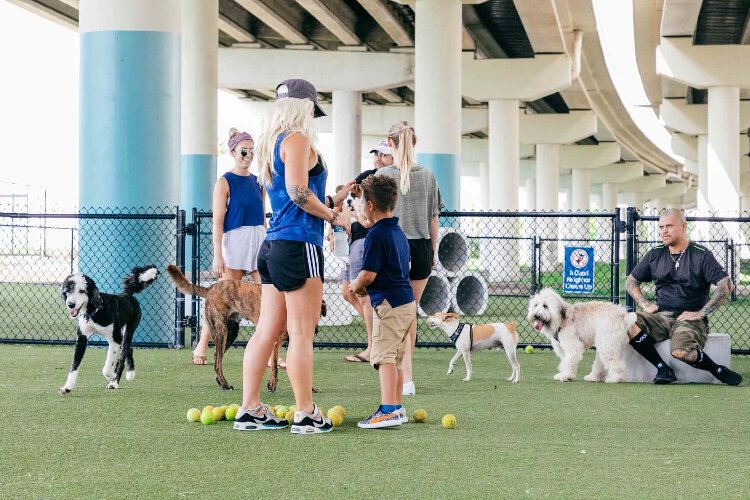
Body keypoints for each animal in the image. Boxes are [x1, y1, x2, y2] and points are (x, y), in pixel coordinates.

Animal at [59, 266, 159, 394]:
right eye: (68, 290)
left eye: (82, 291)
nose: (70, 304)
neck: (94, 311)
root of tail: (127, 294)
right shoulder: (82, 339)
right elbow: (74, 366)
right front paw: (67, 387)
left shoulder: (114, 340)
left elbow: (106, 369)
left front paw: (113, 377)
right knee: (129, 350)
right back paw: (130, 373)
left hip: (128, 331)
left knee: (122, 356)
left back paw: (116, 382)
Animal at [167, 264, 324, 392]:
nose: (314, 331)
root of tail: (210, 288)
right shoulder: (275, 341)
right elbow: (274, 366)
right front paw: (272, 384)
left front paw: (309, 388)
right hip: (221, 331)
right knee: (217, 361)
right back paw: (225, 384)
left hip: (230, 333)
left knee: (218, 357)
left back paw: (220, 381)